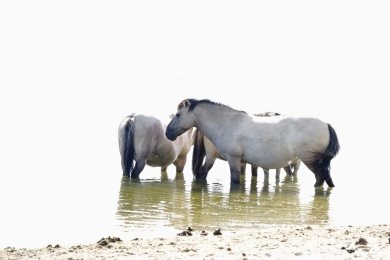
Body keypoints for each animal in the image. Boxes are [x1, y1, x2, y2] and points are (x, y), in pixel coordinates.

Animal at [166, 98, 340, 187]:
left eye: (178, 114)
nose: (168, 133)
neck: (227, 123)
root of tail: (326, 124)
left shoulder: (234, 159)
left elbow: (235, 181)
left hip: (310, 159)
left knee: (321, 179)